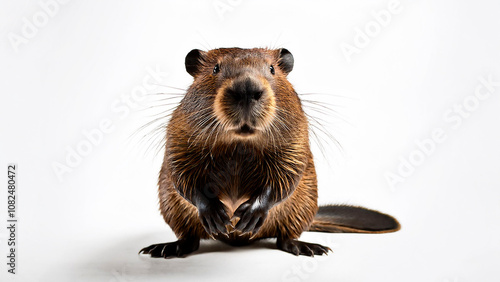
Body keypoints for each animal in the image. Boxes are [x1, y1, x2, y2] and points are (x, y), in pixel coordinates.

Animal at [139, 46, 400, 258]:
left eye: (272, 69)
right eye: (215, 68)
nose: (246, 89)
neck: (240, 142)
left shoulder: (296, 134)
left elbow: (288, 173)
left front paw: (249, 214)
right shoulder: (180, 130)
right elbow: (180, 171)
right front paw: (216, 214)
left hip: (305, 205)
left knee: (286, 237)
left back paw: (307, 247)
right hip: (172, 209)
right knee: (190, 238)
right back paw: (167, 248)